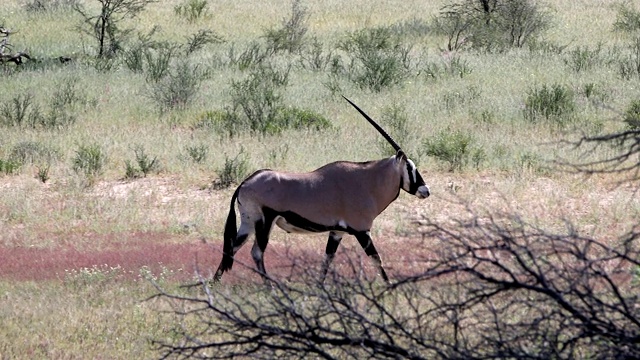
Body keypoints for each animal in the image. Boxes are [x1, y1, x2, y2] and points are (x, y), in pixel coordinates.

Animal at [215, 97, 430, 282]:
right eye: (410, 167)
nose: (425, 190)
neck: (368, 182)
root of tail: (244, 183)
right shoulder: (362, 231)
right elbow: (376, 258)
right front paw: (389, 286)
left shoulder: (336, 232)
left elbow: (327, 259)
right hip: (264, 222)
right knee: (257, 252)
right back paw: (270, 287)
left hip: (248, 223)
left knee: (231, 248)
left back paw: (214, 283)